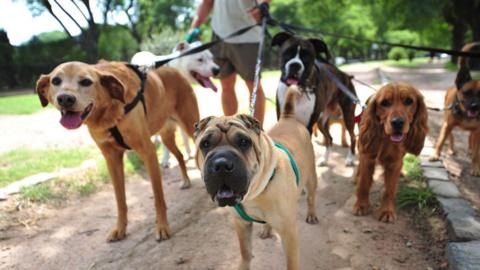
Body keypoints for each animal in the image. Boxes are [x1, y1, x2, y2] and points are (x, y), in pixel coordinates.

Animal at [35, 61, 200, 243]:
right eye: (56, 81)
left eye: (86, 82)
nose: (65, 98)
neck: (108, 112)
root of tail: (173, 70)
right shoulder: (112, 159)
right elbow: (120, 201)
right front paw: (120, 229)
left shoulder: (147, 151)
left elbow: (158, 197)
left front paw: (162, 227)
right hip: (166, 137)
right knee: (180, 155)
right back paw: (185, 180)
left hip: (192, 127)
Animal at [193, 86, 316, 270]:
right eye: (205, 144)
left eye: (244, 142)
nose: (221, 164)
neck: (255, 193)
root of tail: (289, 118)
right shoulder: (241, 224)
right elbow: (245, 252)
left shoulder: (289, 232)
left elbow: (291, 263)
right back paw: (266, 230)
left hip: (312, 178)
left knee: (311, 197)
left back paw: (312, 214)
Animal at [352, 82, 428, 221]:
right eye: (385, 103)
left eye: (409, 101)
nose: (397, 122)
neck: (386, 139)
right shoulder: (368, 156)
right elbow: (364, 183)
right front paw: (361, 205)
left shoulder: (394, 162)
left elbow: (389, 189)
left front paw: (387, 211)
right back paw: (356, 177)